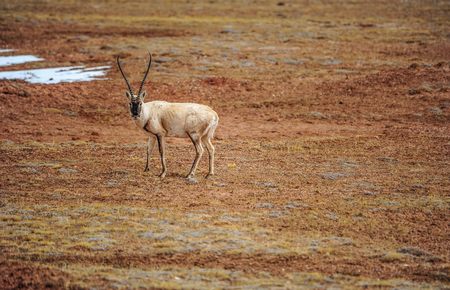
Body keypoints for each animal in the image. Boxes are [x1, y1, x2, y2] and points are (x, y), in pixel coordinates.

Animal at [117, 51, 219, 179]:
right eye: (130, 103)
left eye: (140, 102)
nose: (135, 114)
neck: (148, 112)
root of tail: (214, 114)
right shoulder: (151, 136)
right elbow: (148, 150)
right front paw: (146, 169)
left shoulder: (160, 134)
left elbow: (161, 151)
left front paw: (163, 173)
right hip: (205, 136)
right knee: (211, 149)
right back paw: (209, 174)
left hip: (194, 135)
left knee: (200, 150)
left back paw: (190, 174)